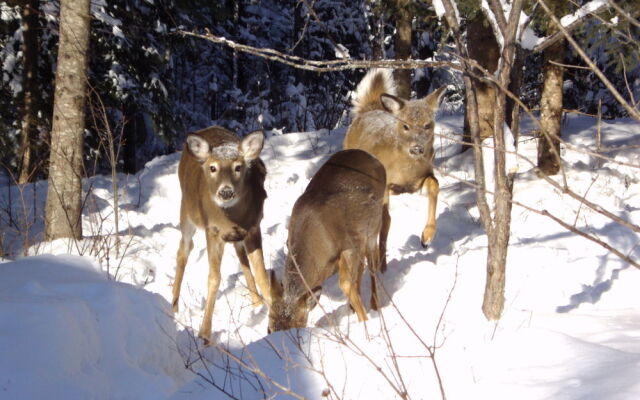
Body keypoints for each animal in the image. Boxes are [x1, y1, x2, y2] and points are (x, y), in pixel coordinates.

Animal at [172, 126, 270, 342]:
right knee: (183, 250)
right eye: (213, 168)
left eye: (238, 167)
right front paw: (204, 334)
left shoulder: (254, 227)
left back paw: (257, 303)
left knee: (241, 258)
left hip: (237, 235)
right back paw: (173, 307)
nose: (225, 192)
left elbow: (261, 275)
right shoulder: (212, 231)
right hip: (186, 212)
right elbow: (214, 278)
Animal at [268, 148, 388, 332]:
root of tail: (371, 156)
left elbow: (345, 283)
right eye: (269, 329)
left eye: (297, 326)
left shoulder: (350, 244)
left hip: (372, 227)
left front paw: (364, 321)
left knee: (372, 264)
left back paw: (375, 306)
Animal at [344, 68, 444, 250]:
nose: (417, 148)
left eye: (427, 125)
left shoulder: (419, 179)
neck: (405, 170)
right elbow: (385, 220)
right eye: (405, 126)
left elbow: (435, 184)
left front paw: (427, 236)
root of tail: (368, 110)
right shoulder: (385, 183)